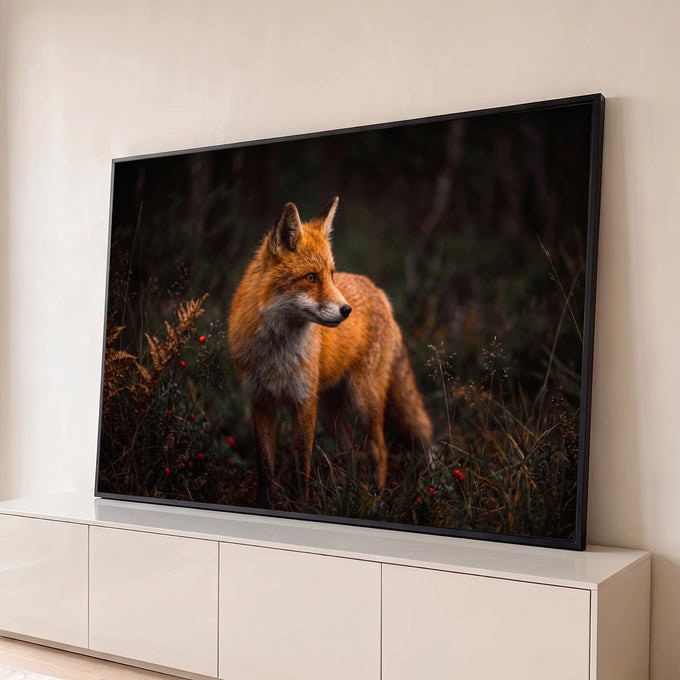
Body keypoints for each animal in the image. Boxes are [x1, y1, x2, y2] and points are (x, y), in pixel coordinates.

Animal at [228, 197, 432, 508]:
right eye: (311, 277)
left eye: (331, 275)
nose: (347, 310)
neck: (277, 352)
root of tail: (379, 291)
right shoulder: (261, 402)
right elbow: (265, 469)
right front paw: (264, 506)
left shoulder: (303, 403)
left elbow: (302, 464)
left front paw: (301, 505)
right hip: (329, 410)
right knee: (350, 449)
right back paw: (346, 492)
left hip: (362, 400)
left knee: (379, 449)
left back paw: (377, 498)